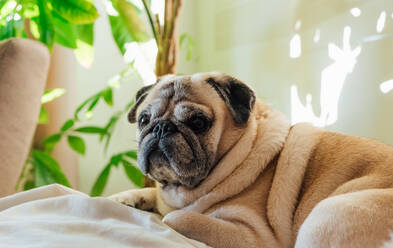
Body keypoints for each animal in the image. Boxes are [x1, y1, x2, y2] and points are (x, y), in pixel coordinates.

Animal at [108, 72, 392, 248]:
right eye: (144, 120)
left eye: (198, 123)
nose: (161, 128)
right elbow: (149, 195)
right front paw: (126, 198)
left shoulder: (253, 236)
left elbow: (175, 218)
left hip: (328, 215)